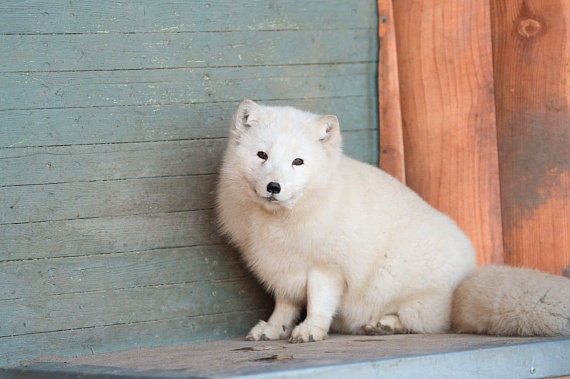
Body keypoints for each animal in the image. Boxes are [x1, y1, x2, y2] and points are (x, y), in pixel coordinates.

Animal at [216, 99, 568, 342]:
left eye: (298, 161)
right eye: (262, 155)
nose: (274, 187)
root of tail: (464, 283)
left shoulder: (328, 269)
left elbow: (319, 303)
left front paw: (310, 330)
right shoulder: (284, 270)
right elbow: (285, 307)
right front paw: (273, 328)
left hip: (399, 285)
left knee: (426, 323)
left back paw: (385, 324)